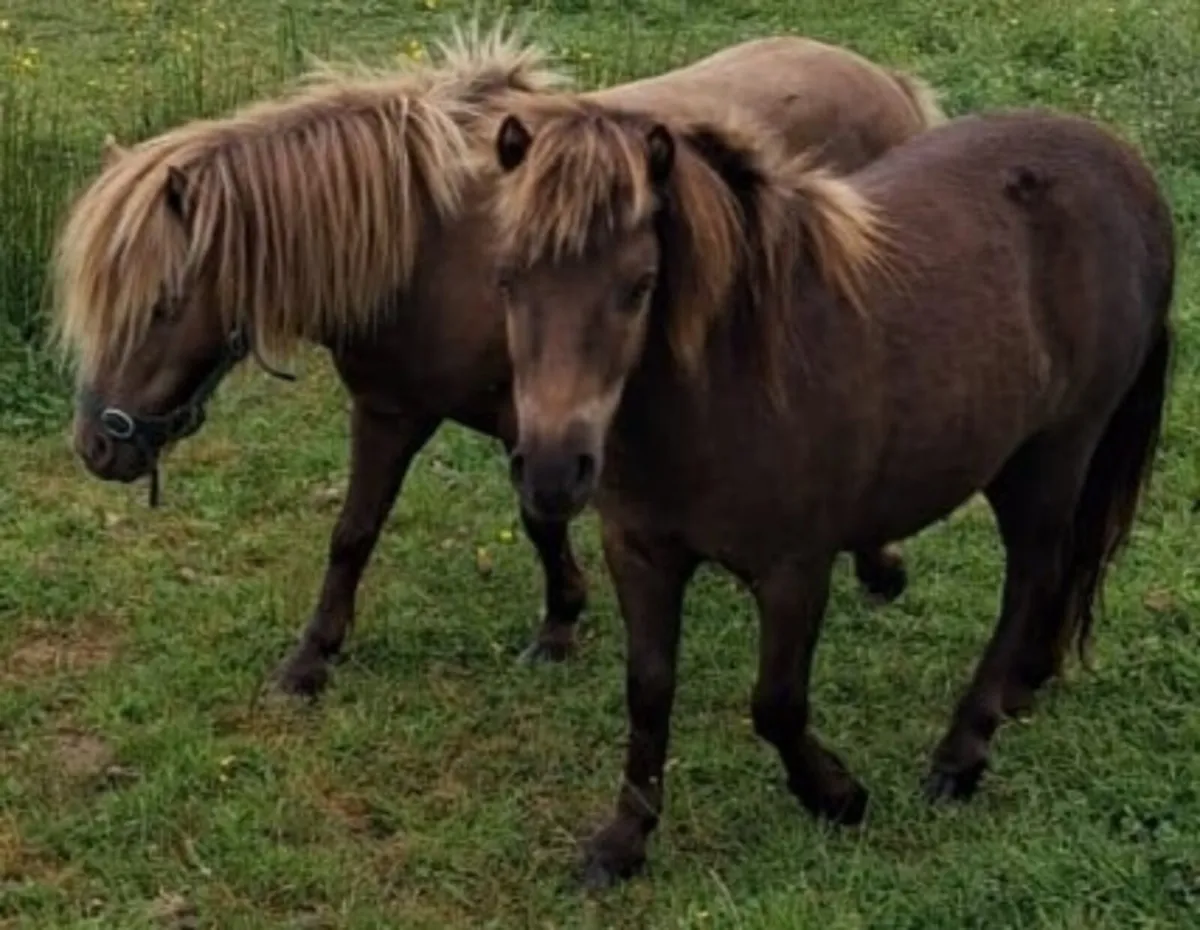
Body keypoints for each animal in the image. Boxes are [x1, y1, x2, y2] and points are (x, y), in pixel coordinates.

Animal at [51, 26, 944, 698]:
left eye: (161, 305)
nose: (98, 446)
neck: (433, 242)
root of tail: (889, 84)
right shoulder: (391, 409)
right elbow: (354, 532)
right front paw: (312, 659)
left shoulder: (537, 422)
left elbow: (538, 520)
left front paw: (559, 625)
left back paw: (879, 568)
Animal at [485, 99, 1175, 887]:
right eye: (506, 278)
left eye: (639, 285)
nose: (551, 470)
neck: (727, 386)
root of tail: (1131, 174)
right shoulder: (640, 553)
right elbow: (649, 691)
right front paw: (624, 841)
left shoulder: (795, 570)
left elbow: (776, 703)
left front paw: (837, 796)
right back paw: (1023, 687)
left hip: (1053, 454)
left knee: (1033, 577)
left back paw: (962, 753)